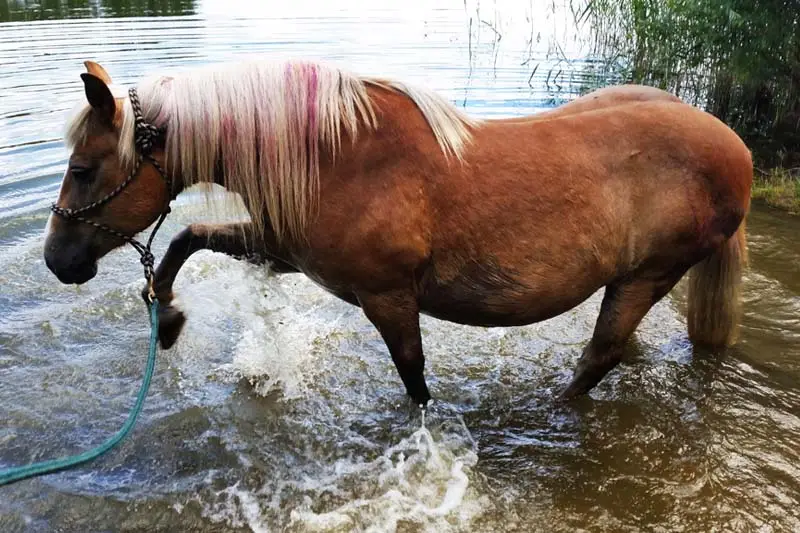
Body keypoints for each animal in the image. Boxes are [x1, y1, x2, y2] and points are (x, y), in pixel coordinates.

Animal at [44, 59, 751, 406]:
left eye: (82, 169)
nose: (57, 260)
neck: (338, 155)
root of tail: (734, 147)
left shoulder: (387, 296)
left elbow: (413, 374)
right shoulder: (283, 250)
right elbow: (187, 236)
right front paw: (164, 317)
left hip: (650, 274)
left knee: (598, 357)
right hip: (630, 279)